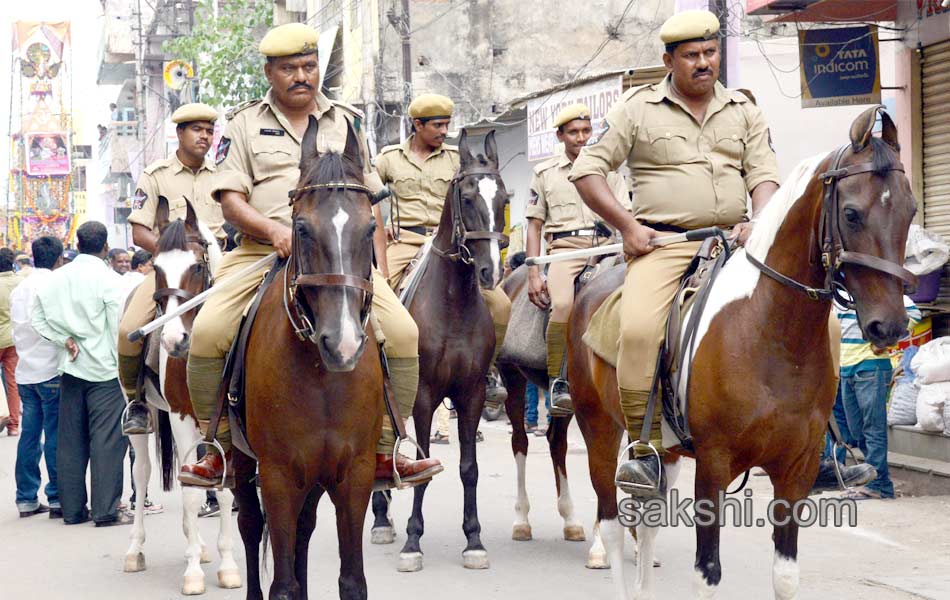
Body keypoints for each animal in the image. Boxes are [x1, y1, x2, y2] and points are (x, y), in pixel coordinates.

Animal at [122, 198, 242, 596]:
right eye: (157, 267)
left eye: (197, 265)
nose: (174, 340)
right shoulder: (180, 416)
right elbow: (190, 492)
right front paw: (192, 574)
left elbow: (223, 489)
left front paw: (227, 565)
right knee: (142, 473)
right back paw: (135, 550)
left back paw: (201, 547)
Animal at [232, 118, 384, 600]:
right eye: (300, 229)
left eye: (369, 230)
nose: (344, 344)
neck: (321, 375)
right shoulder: (278, 476)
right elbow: (281, 582)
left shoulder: (353, 474)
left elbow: (352, 580)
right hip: (244, 462)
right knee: (249, 525)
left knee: (304, 528)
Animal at [370, 130, 512, 572]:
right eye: (466, 197)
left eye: (504, 199)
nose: (490, 272)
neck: (453, 303)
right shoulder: (423, 396)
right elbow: (424, 463)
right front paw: (412, 541)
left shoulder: (472, 394)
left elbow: (469, 468)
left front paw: (474, 539)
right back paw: (381, 519)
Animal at [564, 108, 916, 600]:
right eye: (851, 213)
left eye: (911, 210)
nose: (891, 326)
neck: (769, 332)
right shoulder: (713, 465)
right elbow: (707, 571)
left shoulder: (797, 469)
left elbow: (785, 574)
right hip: (596, 425)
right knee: (613, 523)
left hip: (662, 450)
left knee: (648, 520)